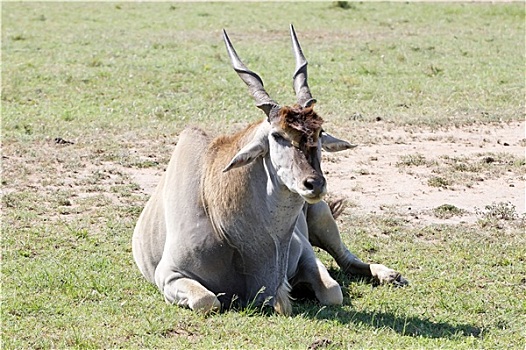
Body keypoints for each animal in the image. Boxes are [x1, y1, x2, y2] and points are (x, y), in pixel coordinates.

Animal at [133, 24, 408, 314]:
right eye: (277, 135)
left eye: (320, 133)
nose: (314, 184)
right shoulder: (169, 275)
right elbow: (207, 301)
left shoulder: (307, 255)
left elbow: (332, 291)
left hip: (323, 217)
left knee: (346, 259)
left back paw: (391, 275)